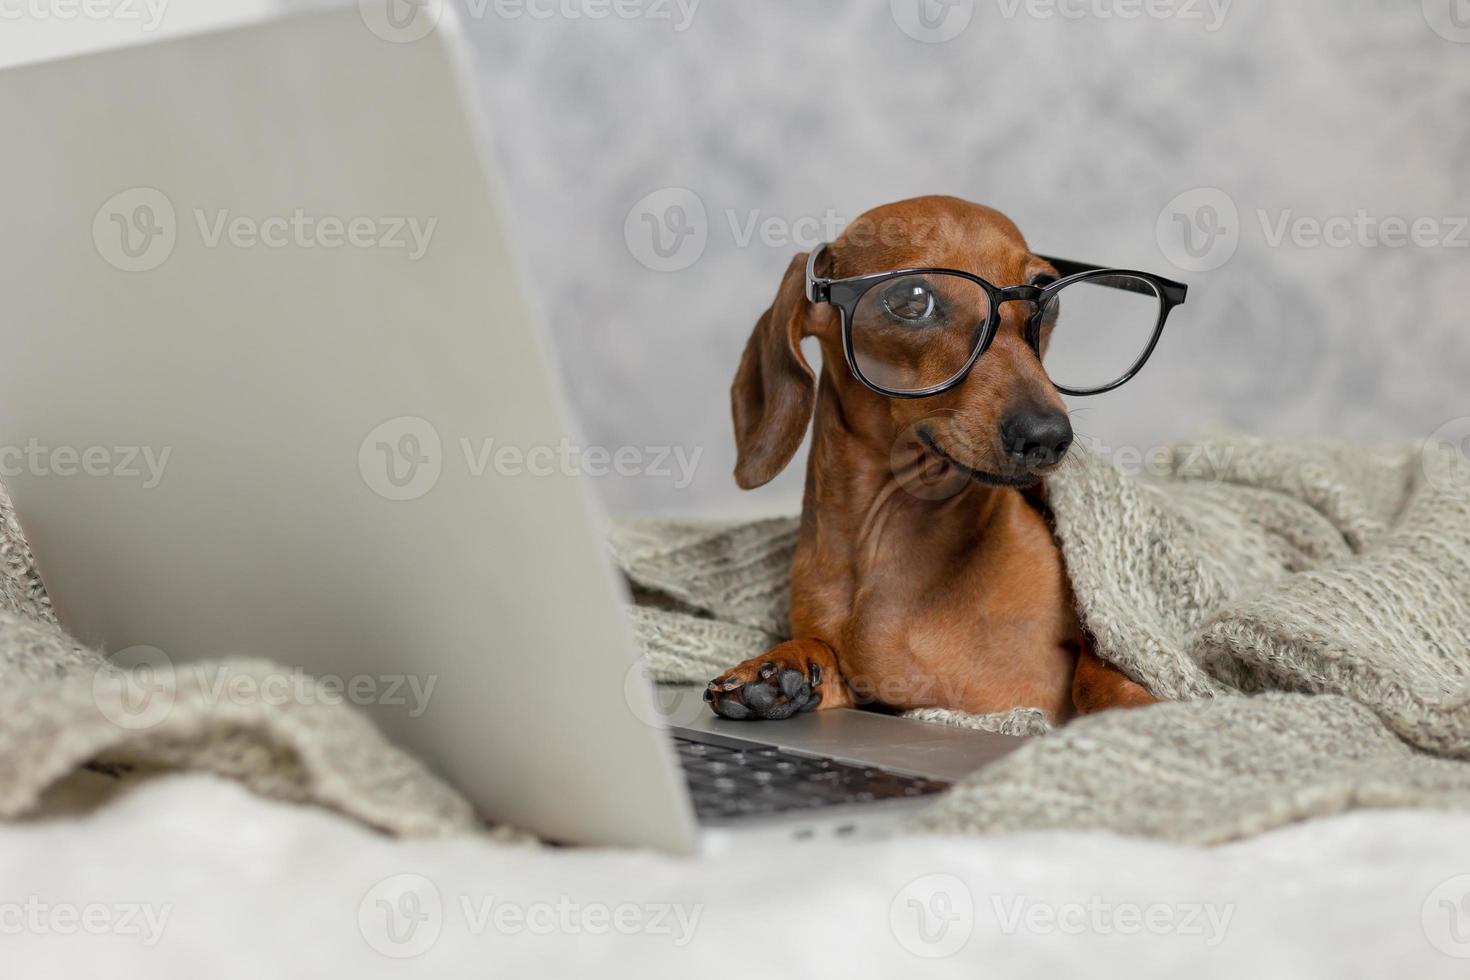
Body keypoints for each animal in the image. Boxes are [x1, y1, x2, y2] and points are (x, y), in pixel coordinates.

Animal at [705, 195, 1164, 725]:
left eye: (1046, 298)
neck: (889, 541)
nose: (1047, 436)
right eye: (912, 298)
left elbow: (1098, 667)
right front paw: (780, 666)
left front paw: (1138, 708)